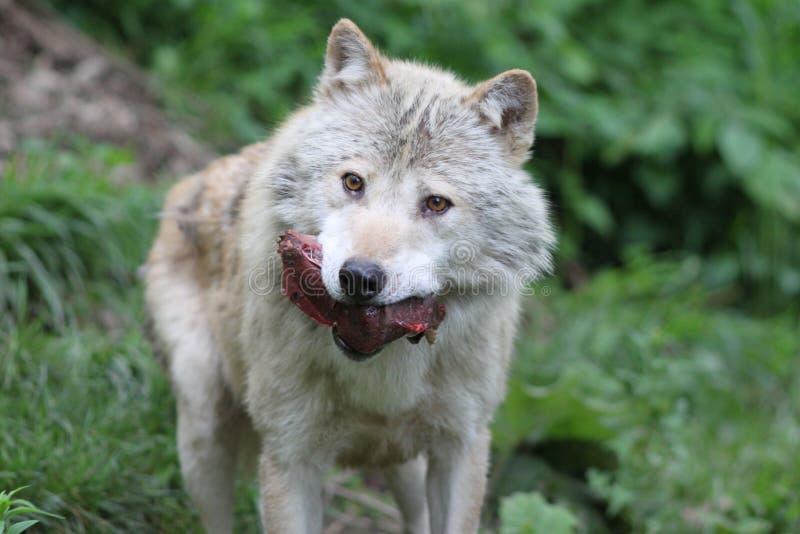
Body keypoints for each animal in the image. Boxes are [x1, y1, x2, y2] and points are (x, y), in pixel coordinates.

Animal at [144, 17, 552, 534]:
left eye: (436, 203)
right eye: (353, 182)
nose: (360, 276)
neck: (382, 372)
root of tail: (188, 186)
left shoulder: (462, 448)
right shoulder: (289, 457)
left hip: (406, 468)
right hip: (202, 432)